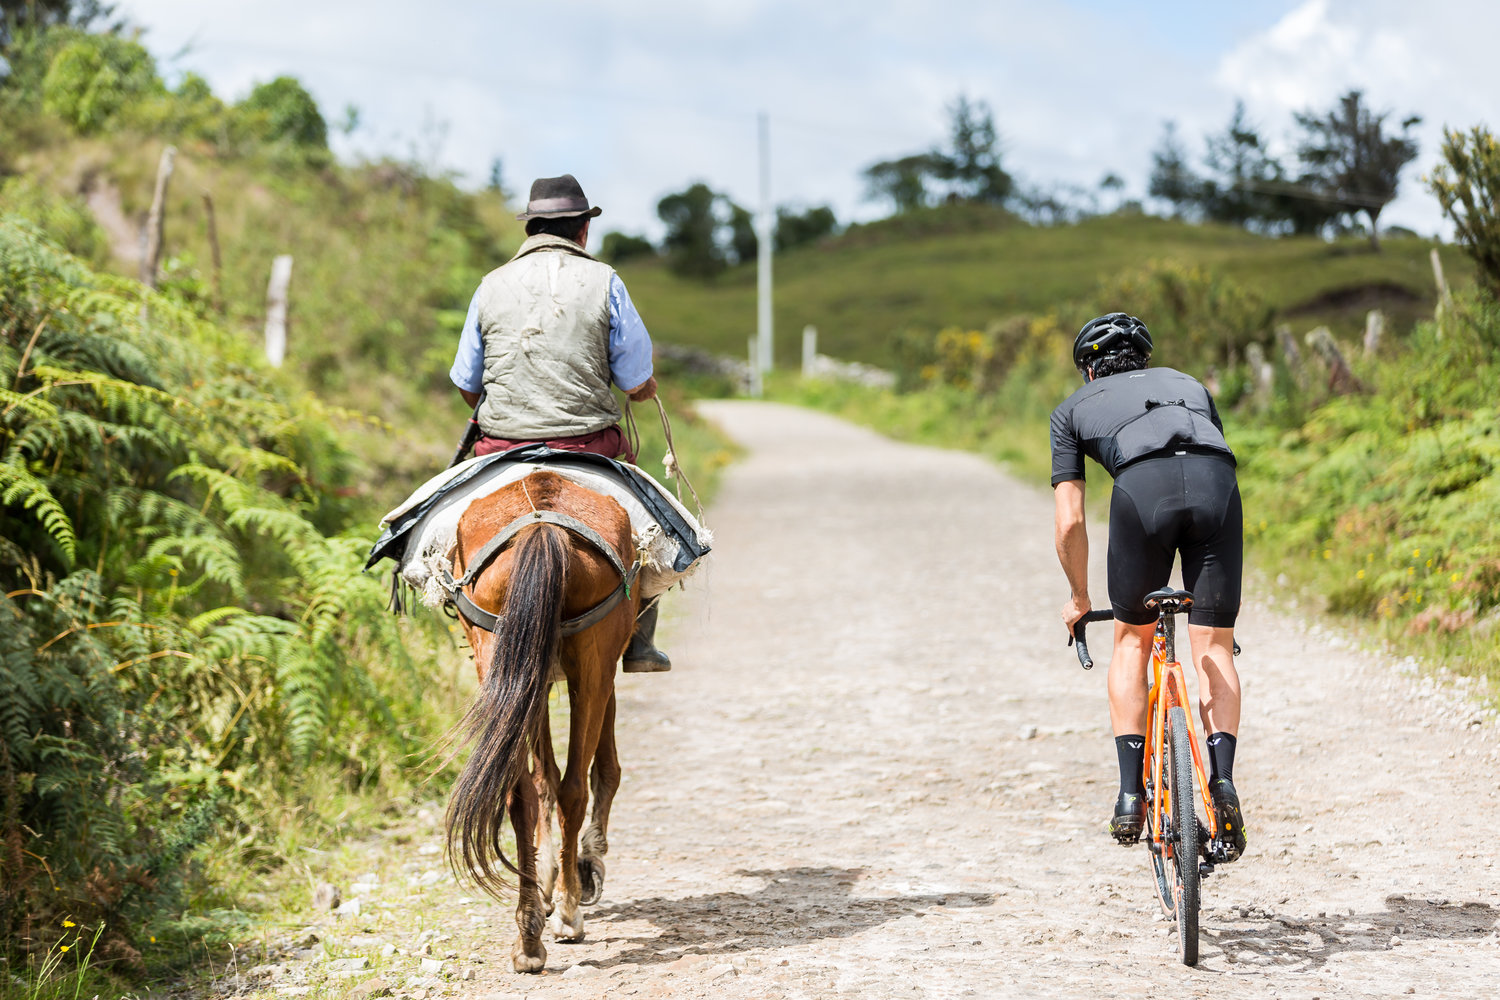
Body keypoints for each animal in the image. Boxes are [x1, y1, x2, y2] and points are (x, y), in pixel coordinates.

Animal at [441, 473, 636, 971]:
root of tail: (542, 523)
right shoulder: (600, 670)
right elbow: (601, 769)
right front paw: (586, 863)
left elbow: (544, 776)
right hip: (591, 661)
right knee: (573, 788)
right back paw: (567, 911)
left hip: (500, 652)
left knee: (521, 792)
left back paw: (530, 936)